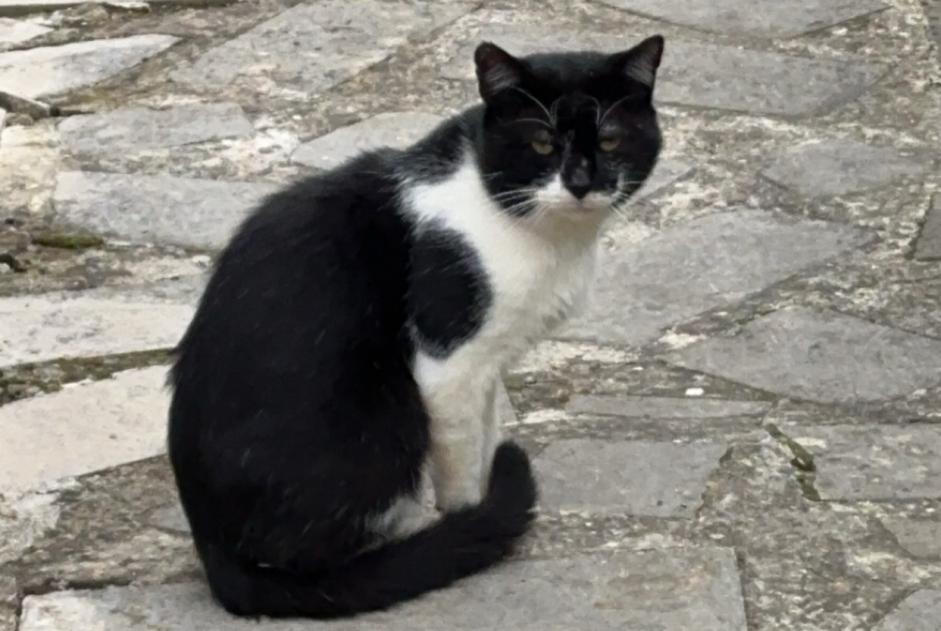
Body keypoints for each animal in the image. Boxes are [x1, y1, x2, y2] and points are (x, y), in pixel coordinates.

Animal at [171, 33, 668, 616]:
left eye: (610, 140)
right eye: (543, 143)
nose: (582, 183)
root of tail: (214, 553)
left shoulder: (487, 362)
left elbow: (486, 431)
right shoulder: (448, 360)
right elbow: (460, 457)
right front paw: (471, 521)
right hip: (386, 411)